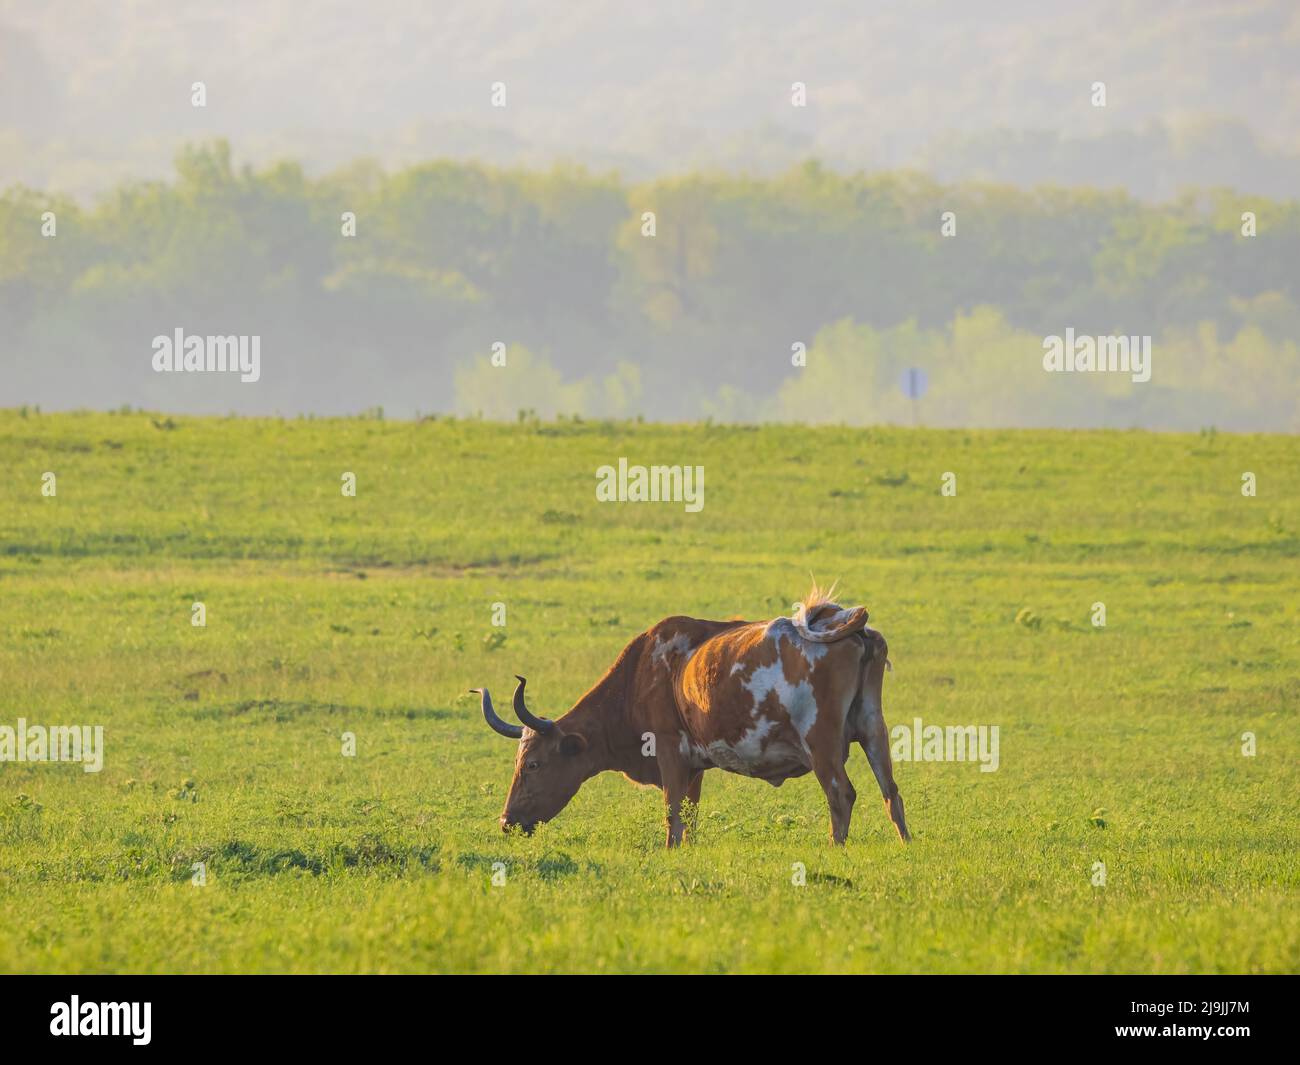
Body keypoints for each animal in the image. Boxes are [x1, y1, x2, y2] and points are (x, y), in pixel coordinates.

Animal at [471, 587, 910, 847]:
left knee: (841, 794)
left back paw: (837, 848)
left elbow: (672, 811)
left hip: (822, 746)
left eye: (533, 763)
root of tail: (849, 627)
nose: (506, 821)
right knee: (891, 792)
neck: (644, 673)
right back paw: (905, 843)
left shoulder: (668, 750)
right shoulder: (695, 767)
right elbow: (690, 814)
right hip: (874, 732)